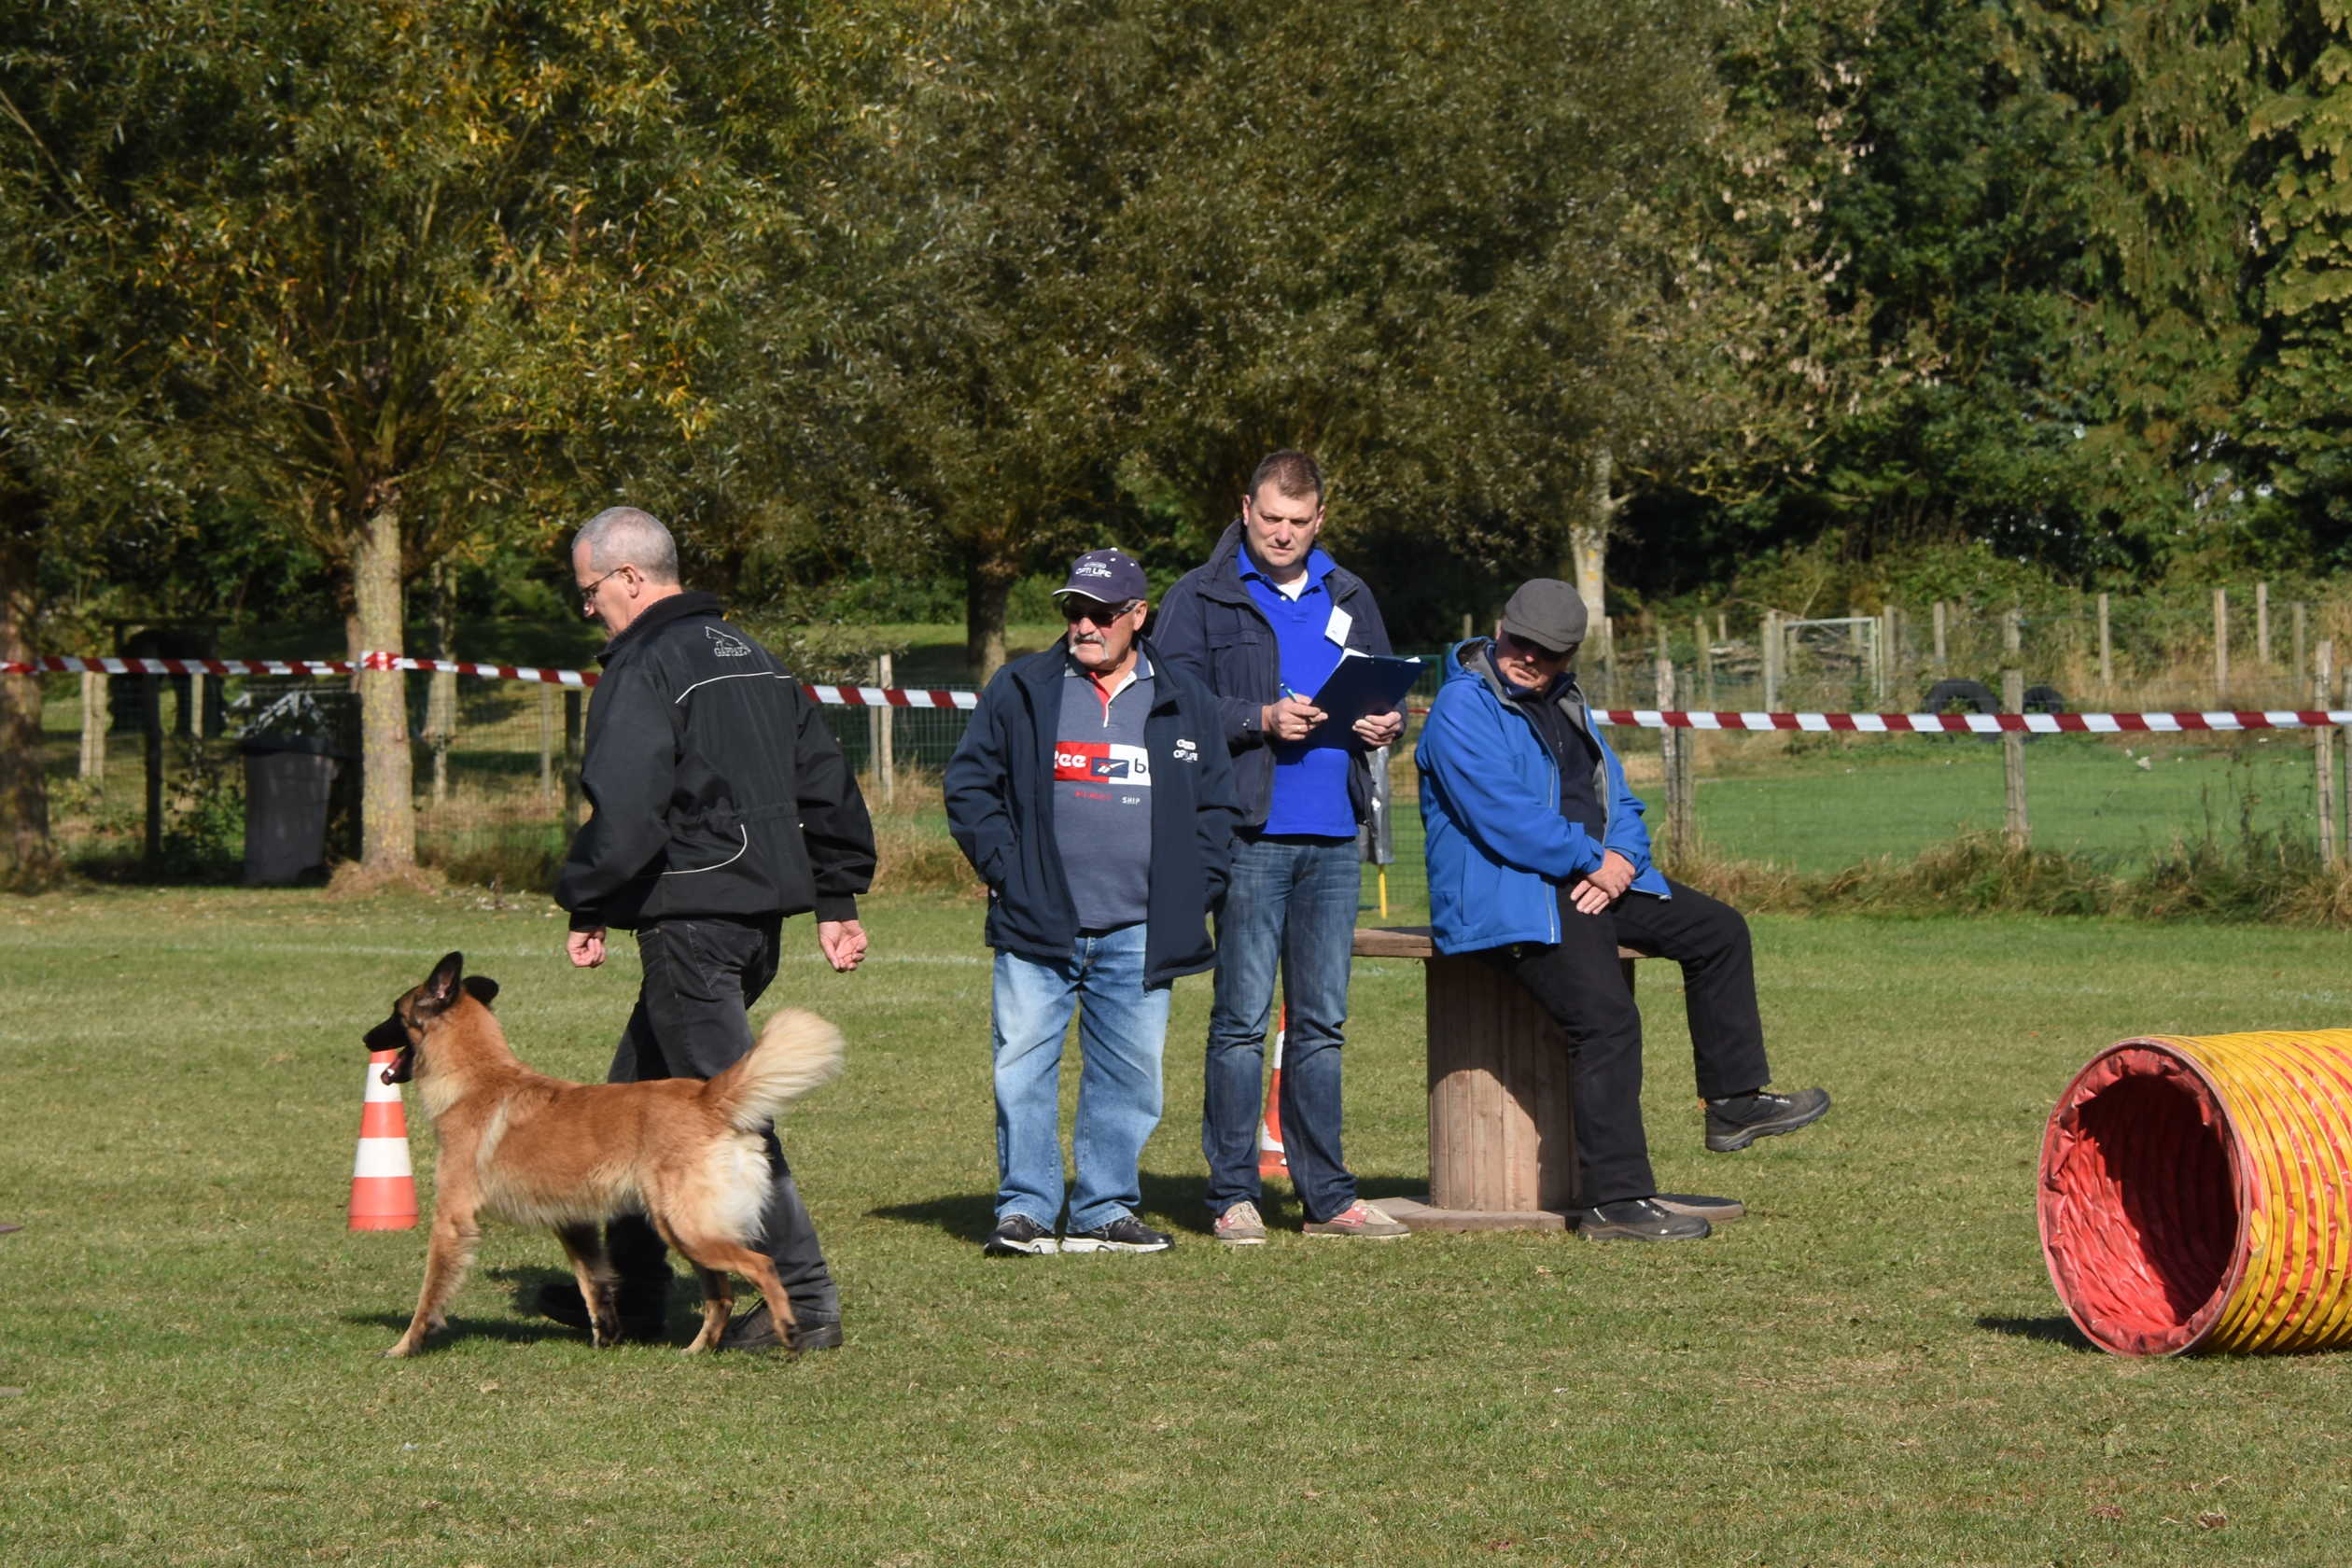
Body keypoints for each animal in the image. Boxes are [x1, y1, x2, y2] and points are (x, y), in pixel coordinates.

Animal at [361, 950, 843, 1357]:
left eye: (395, 1013)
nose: (366, 1038)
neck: (477, 1077)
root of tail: (706, 1096)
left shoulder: (452, 1219)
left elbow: (429, 1292)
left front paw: (406, 1345)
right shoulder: (574, 1224)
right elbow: (594, 1283)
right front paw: (607, 1335)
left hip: (687, 1229)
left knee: (762, 1266)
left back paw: (788, 1330)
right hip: (685, 1231)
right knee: (720, 1296)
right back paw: (695, 1350)